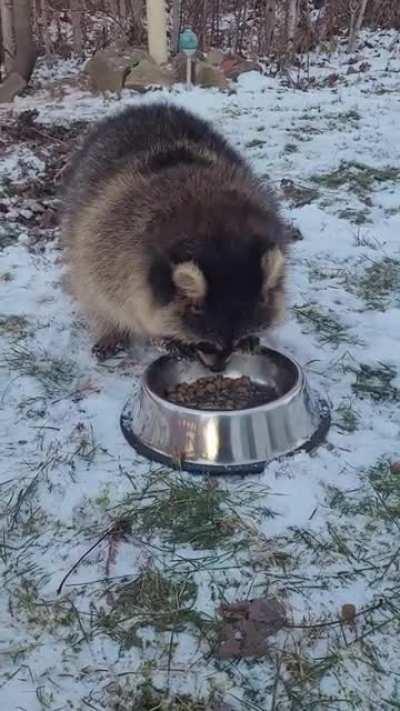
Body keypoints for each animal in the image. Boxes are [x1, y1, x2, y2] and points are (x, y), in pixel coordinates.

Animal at [62, 103, 289, 368]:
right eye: (205, 344)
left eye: (237, 340)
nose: (216, 369)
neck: (217, 231)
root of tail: (145, 107)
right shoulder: (112, 248)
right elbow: (116, 298)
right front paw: (161, 337)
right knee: (90, 291)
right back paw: (110, 330)